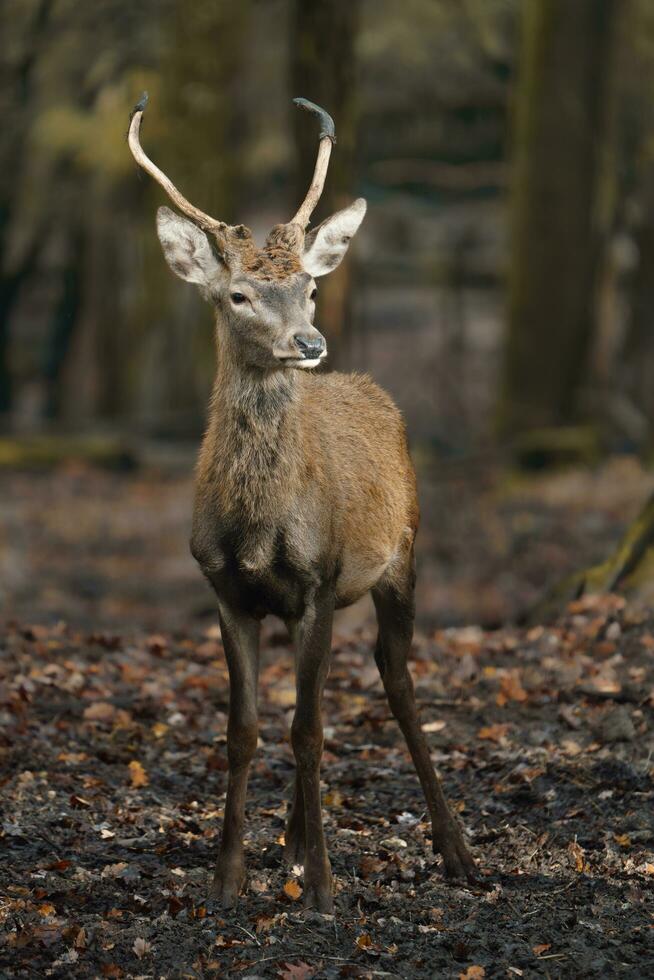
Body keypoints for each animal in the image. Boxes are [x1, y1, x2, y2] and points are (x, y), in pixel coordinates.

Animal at [127, 95, 476, 916]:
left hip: (403, 553)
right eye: (238, 295)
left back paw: (454, 850)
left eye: (309, 288)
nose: (311, 341)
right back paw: (289, 839)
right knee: (324, 695)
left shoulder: (320, 578)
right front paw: (228, 877)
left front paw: (320, 885)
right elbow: (247, 729)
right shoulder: (227, 588)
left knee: (396, 681)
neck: (260, 529)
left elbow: (309, 731)